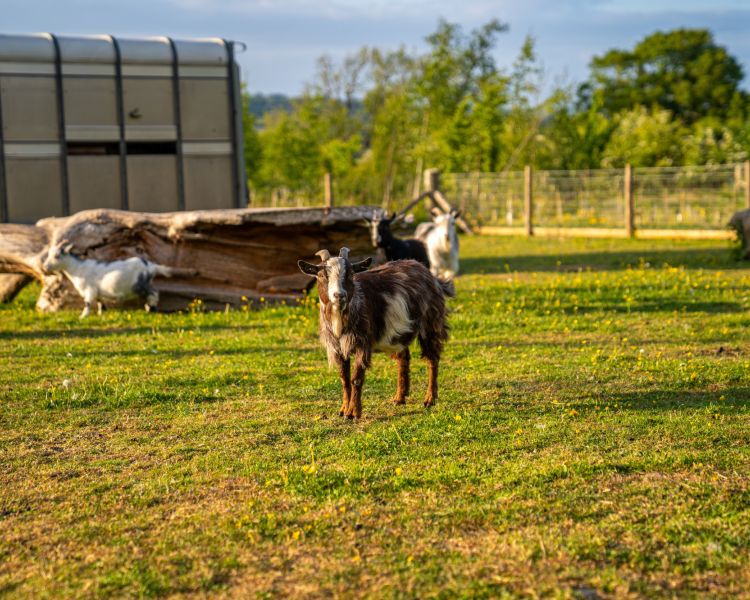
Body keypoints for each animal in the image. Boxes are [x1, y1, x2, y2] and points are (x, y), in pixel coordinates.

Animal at [42, 242, 174, 318]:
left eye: (57, 256)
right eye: (49, 254)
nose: (45, 267)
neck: (77, 268)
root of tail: (151, 266)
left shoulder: (89, 290)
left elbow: (88, 303)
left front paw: (82, 317)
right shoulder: (97, 291)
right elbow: (100, 302)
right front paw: (101, 314)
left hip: (140, 285)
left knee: (154, 293)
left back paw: (151, 309)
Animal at [298, 247, 454, 419]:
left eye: (350, 274)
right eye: (322, 275)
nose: (339, 296)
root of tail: (432, 277)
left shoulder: (362, 343)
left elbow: (356, 379)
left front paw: (354, 412)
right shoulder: (337, 347)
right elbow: (344, 379)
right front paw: (343, 409)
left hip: (431, 323)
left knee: (432, 358)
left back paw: (429, 399)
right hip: (398, 335)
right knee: (404, 358)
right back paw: (399, 398)